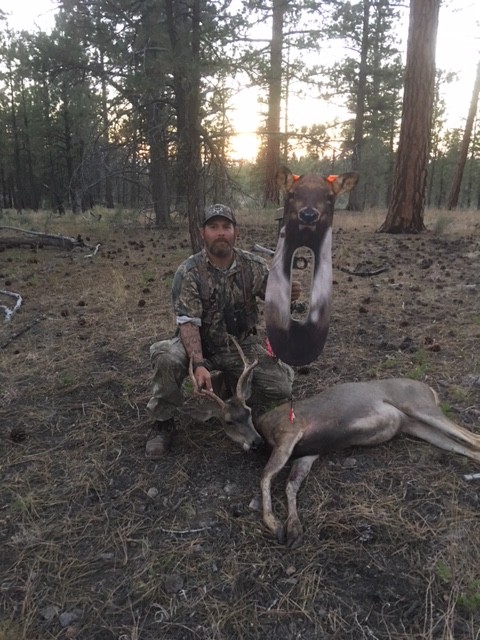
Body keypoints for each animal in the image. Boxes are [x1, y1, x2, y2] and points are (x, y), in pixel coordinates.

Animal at [190, 337, 480, 549]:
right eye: (228, 422)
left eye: (248, 411)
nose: (255, 442)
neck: (266, 428)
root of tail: (429, 389)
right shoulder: (307, 454)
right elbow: (291, 485)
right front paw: (293, 528)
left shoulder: (290, 432)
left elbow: (266, 475)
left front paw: (275, 524)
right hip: (417, 426)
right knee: (466, 445)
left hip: (420, 406)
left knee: (473, 438)